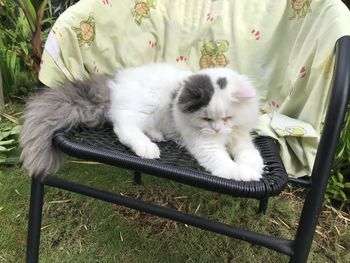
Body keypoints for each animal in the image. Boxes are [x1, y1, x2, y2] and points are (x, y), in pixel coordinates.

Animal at [19, 63, 262, 182]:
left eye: (228, 118)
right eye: (206, 119)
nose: (217, 129)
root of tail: (114, 83)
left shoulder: (240, 135)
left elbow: (249, 153)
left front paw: (254, 167)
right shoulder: (204, 143)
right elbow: (223, 162)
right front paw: (241, 173)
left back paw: (155, 136)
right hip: (146, 107)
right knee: (123, 126)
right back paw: (148, 148)